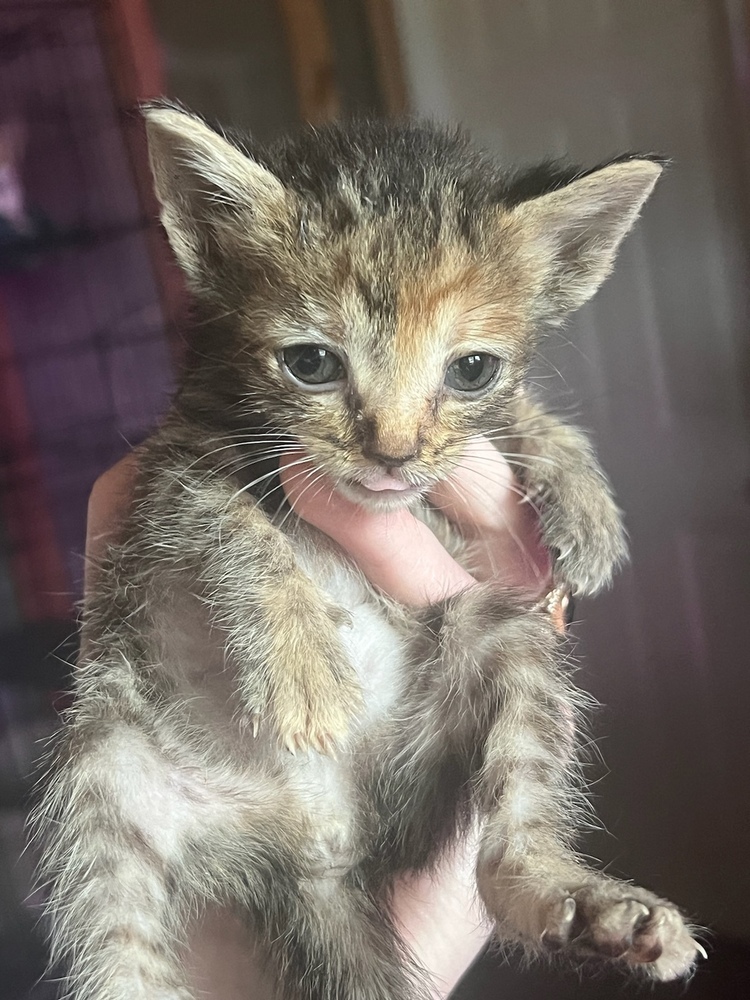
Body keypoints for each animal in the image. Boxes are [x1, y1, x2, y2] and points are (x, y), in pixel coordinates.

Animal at [33, 105, 704, 996]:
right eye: (311, 363)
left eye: (472, 370)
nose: (392, 453)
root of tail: (318, 845)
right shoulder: (172, 471)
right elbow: (235, 528)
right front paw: (302, 670)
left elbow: (508, 423)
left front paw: (580, 489)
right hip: (105, 769)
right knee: (117, 939)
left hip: (503, 638)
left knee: (503, 853)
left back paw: (585, 903)